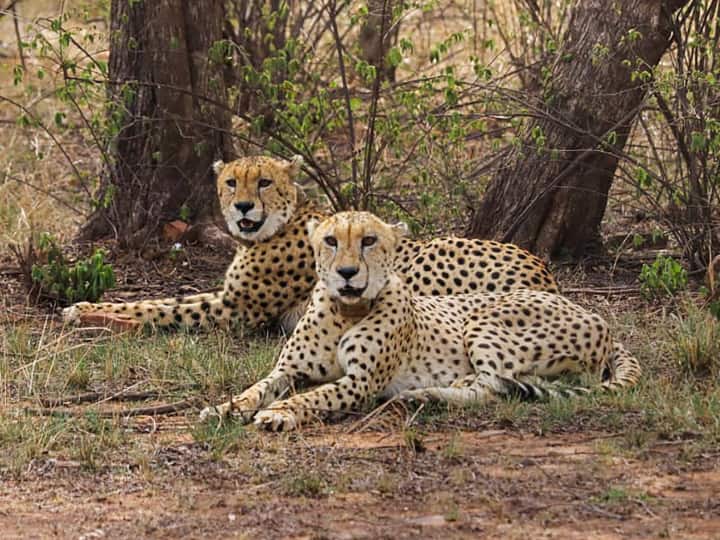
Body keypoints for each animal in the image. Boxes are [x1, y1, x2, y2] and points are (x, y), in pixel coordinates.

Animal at [63, 155, 559, 334]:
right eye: (231, 182)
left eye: (263, 182)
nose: (242, 207)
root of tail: (543, 271)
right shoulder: (229, 297)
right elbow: (163, 299)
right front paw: (87, 306)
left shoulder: (238, 310)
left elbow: (159, 308)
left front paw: (90, 314)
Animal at [199, 211, 641, 431]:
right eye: (330, 241)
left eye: (369, 240)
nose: (347, 273)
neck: (345, 310)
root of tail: (595, 316)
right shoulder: (289, 370)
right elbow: (256, 388)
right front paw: (225, 408)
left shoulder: (360, 382)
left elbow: (314, 396)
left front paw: (280, 413)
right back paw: (423, 395)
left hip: (483, 321)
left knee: (493, 387)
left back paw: (427, 394)